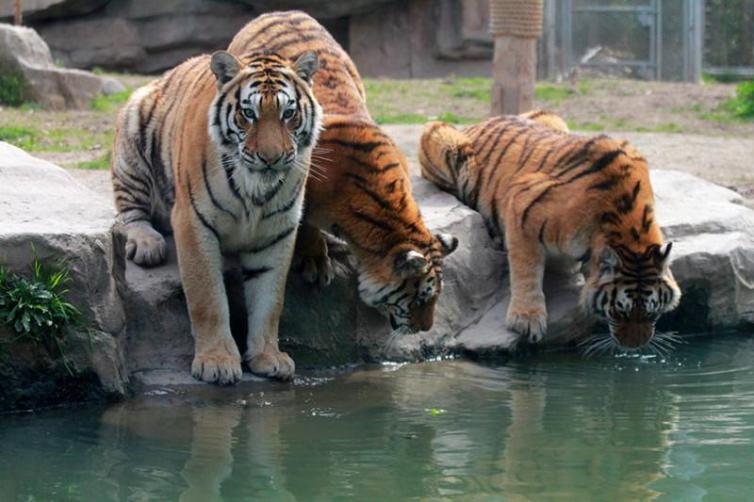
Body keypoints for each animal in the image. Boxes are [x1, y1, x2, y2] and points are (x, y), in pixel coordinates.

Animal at [111, 49, 320, 382]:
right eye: (249, 114)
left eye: (288, 114)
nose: (271, 158)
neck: (255, 191)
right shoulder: (194, 222)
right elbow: (208, 298)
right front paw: (217, 362)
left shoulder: (277, 233)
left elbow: (270, 300)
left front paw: (269, 357)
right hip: (132, 141)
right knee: (130, 211)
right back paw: (147, 244)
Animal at [418, 112, 680, 352]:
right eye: (619, 312)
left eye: (653, 313)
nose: (634, 347)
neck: (626, 224)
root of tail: (481, 122)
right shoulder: (523, 203)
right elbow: (527, 268)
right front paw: (526, 319)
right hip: (442, 137)